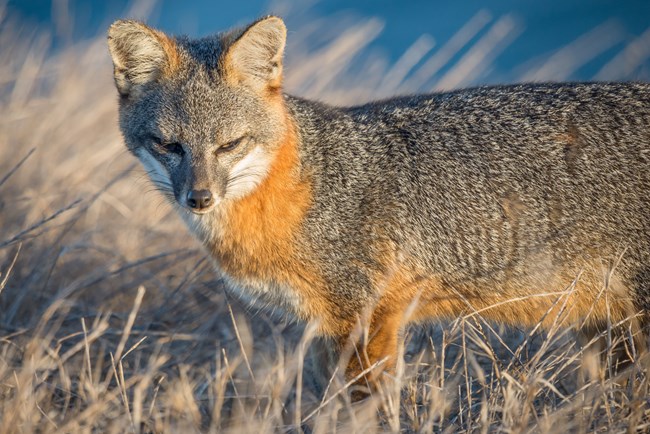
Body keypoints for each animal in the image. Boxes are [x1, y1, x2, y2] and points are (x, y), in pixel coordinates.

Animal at [106, 15, 648, 394]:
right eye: (169, 145)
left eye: (229, 145)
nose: (199, 198)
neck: (307, 187)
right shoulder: (325, 328)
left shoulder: (367, 320)